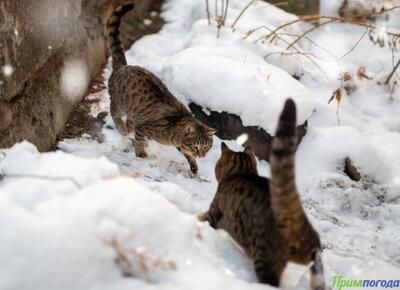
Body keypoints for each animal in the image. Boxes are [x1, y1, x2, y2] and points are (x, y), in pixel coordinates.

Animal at [106, 3, 216, 173]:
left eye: (206, 147)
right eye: (196, 146)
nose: (201, 156)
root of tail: (124, 66)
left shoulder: (179, 144)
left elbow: (186, 154)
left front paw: (194, 166)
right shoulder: (144, 128)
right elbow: (139, 141)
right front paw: (141, 154)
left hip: (133, 111)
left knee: (130, 122)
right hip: (119, 103)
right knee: (114, 113)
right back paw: (122, 129)